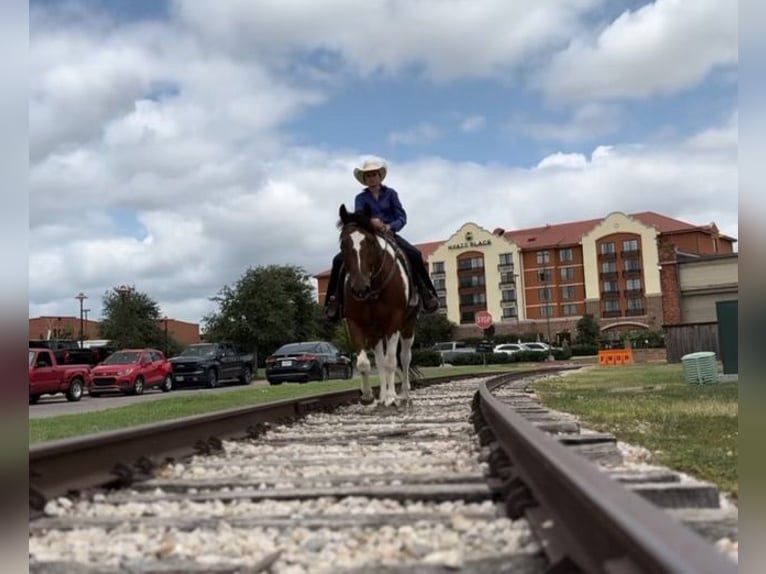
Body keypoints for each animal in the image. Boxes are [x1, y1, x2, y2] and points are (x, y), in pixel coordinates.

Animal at [338, 205, 420, 408]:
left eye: (369, 242)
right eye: (343, 244)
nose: (359, 288)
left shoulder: (395, 321)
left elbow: (392, 362)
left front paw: (392, 396)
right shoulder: (354, 322)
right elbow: (364, 363)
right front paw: (368, 395)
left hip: (408, 327)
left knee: (404, 358)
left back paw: (403, 394)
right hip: (376, 332)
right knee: (381, 361)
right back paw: (382, 395)